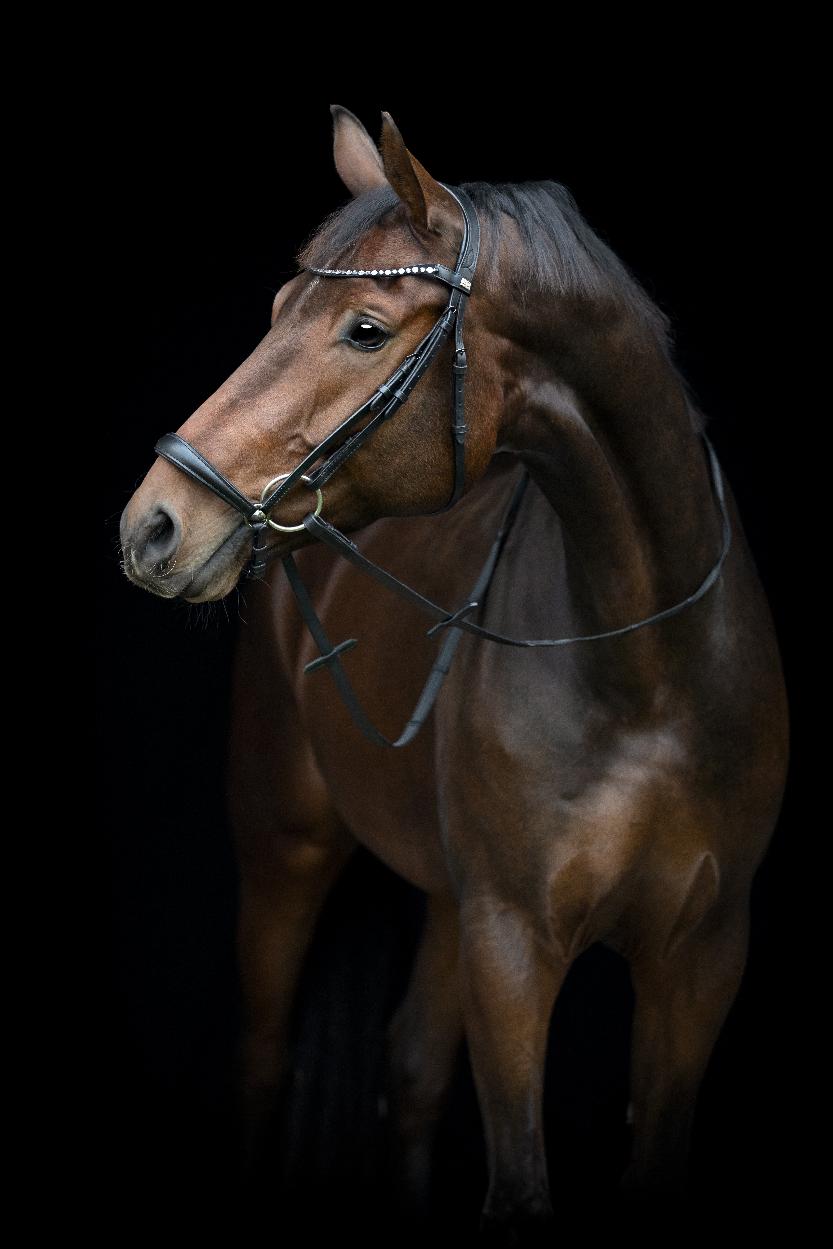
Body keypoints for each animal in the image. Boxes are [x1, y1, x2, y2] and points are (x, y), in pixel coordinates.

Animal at [119, 106, 790, 1239]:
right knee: (264, 1061)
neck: (647, 674)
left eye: (364, 331)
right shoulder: (511, 946)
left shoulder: (701, 957)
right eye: (275, 310)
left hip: (443, 899)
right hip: (286, 848)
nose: (154, 524)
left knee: (412, 1072)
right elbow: (516, 1182)